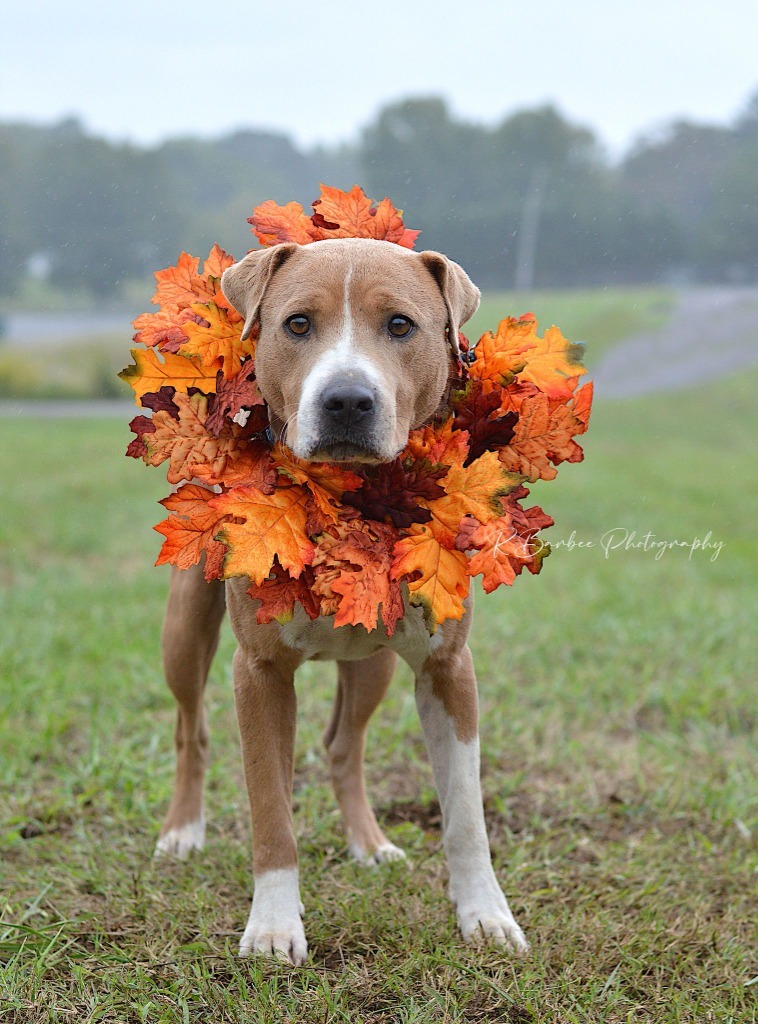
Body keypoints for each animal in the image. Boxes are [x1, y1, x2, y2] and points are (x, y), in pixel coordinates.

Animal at [153, 235, 528, 962]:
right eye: (297, 324)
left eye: (401, 326)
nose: (347, 399)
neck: (354, 501)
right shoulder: (259, 672)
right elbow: (271, 809)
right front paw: (274, 927)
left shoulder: (448, 669)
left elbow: (465, 811)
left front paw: (485, 915)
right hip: (184, 628)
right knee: (191, 728)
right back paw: (182, 831)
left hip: (374, 662)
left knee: (341, 745)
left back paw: (370, 843)